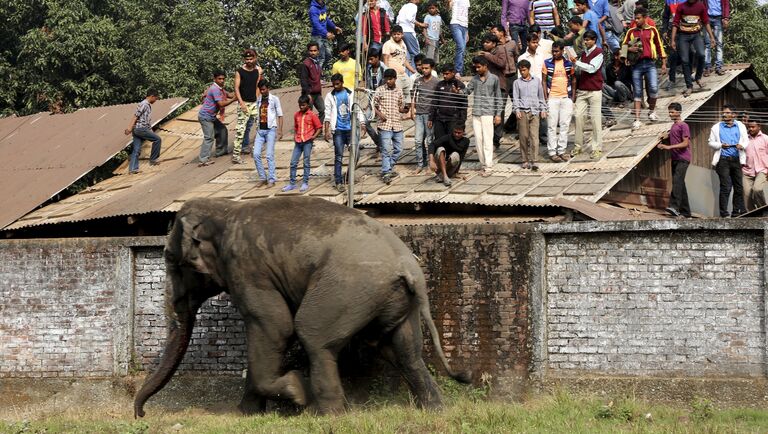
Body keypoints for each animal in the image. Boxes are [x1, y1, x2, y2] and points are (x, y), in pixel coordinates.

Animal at [134, 197, 468, 418]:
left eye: (171, 260)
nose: (141, 415)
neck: (225, 208)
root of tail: (409, 267)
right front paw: (247, 414)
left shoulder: (247, 268)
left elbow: (275, 327)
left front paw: (295, 392)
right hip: (393, 298)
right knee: (402, 350)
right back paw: (435, 410)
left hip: (347, 287)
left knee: (313, 334)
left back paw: (330, 414)